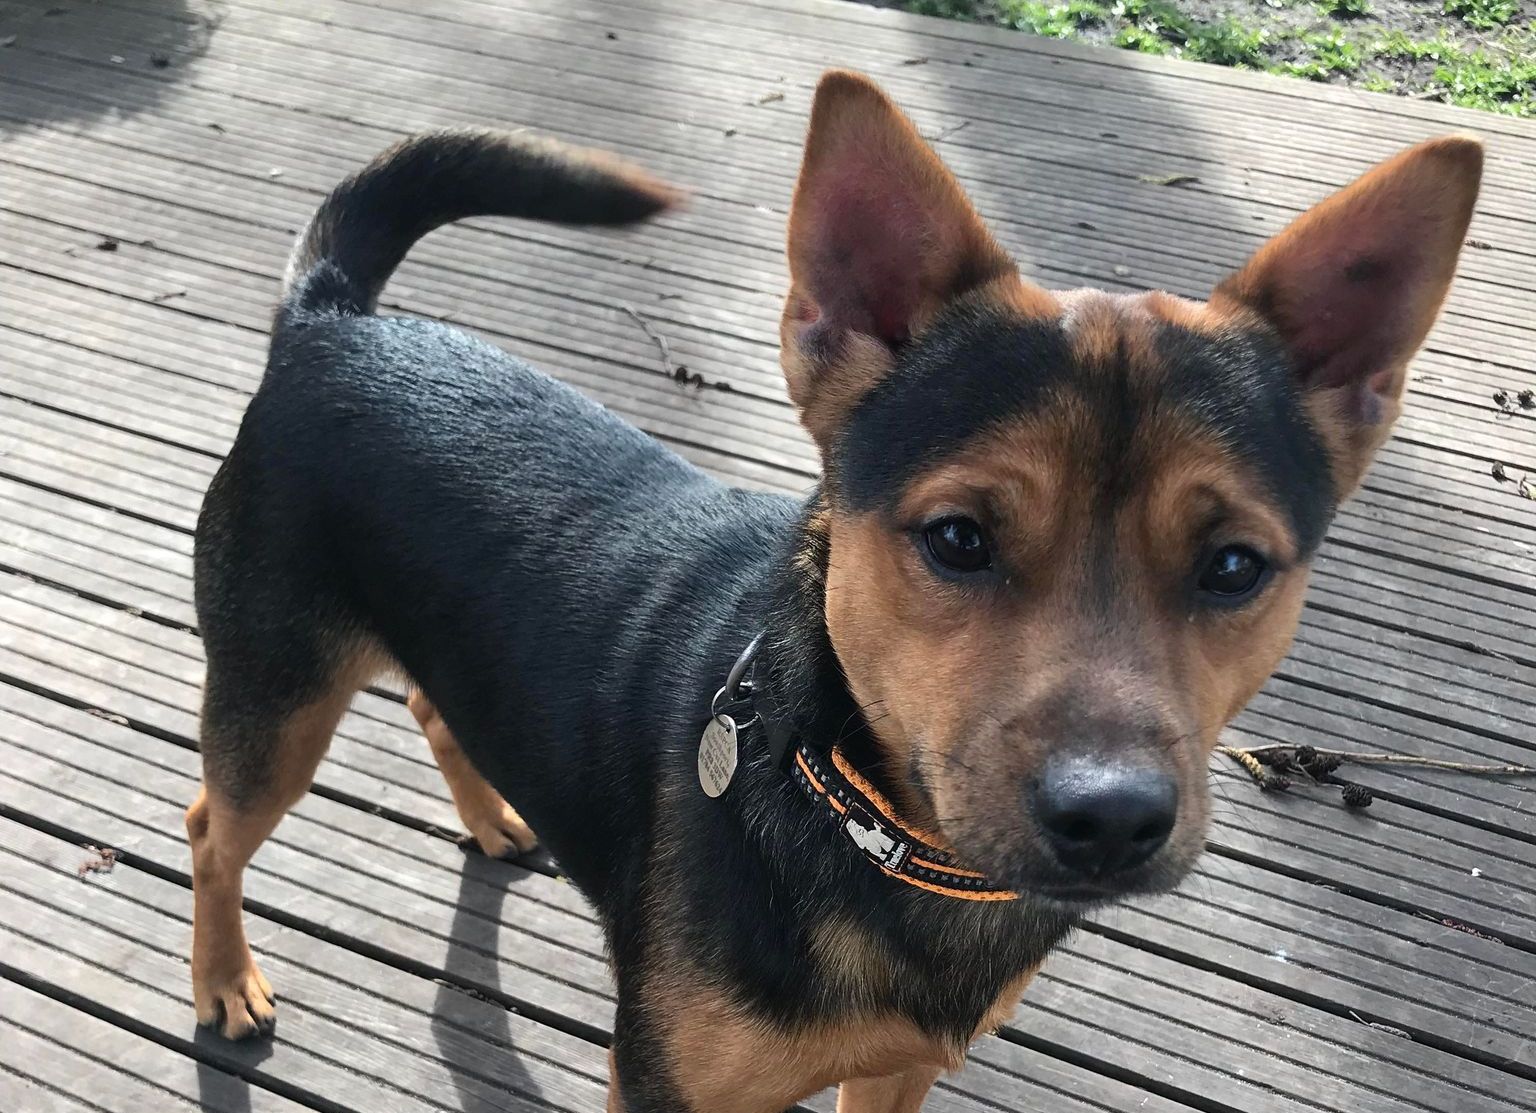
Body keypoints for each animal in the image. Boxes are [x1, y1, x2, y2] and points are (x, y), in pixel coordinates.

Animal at [185, 71, 1480, 1111]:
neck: (876, 828)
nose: (1110, 820)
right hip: (274, 700)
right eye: (957, 539)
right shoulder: (664, 1085)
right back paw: (226, 983)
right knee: (211, 827)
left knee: (431, 701)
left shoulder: (896, 1072)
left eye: (1234, 568)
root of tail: (332, 323)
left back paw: (497, 817)